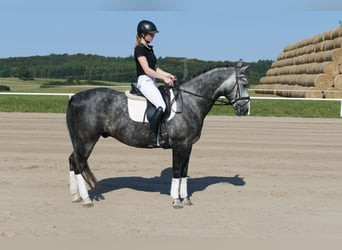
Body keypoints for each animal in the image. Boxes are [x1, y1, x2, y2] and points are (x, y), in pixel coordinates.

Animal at [67, 63, 250, 208]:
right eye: (244, 83)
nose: (245, 109)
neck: (189, 101)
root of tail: (75, 97)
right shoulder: (179, 145)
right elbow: (176, 170)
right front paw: (176, 200)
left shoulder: (188, 145)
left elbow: (184, 171)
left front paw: (186, 199)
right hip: (87, 140)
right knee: (79, 162)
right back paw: (86, 199)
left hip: (81, 140)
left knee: (72, 160)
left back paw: (75, 196)